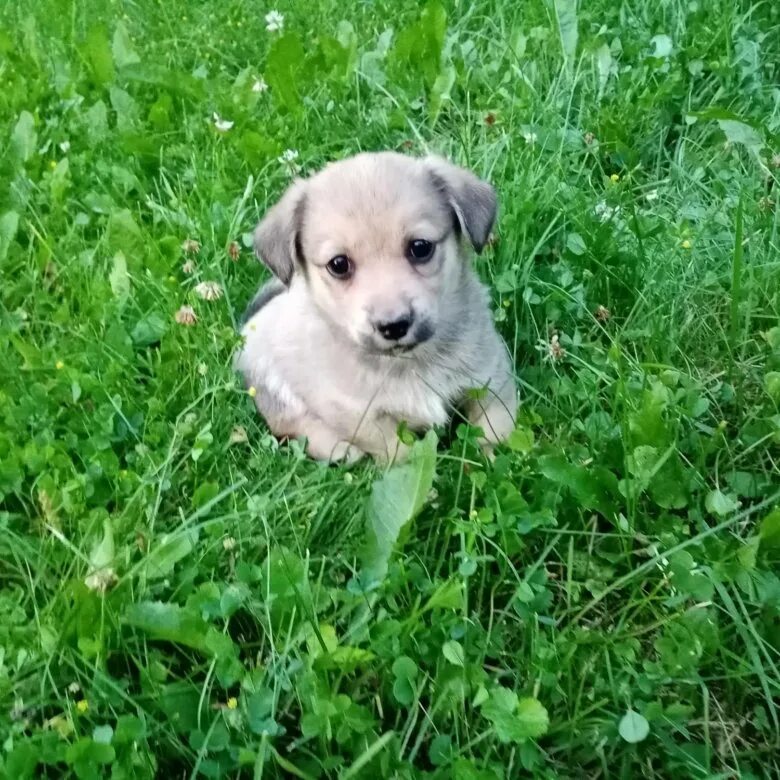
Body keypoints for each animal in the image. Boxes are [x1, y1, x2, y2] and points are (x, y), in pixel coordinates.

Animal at [238, 149, 516, 460]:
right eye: (338, 264)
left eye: (421, 247)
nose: (393, 325)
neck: (409, 362)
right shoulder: (361, 416)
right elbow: (399, 452)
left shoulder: (491, 377)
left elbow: (495, 429)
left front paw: (493, 459)